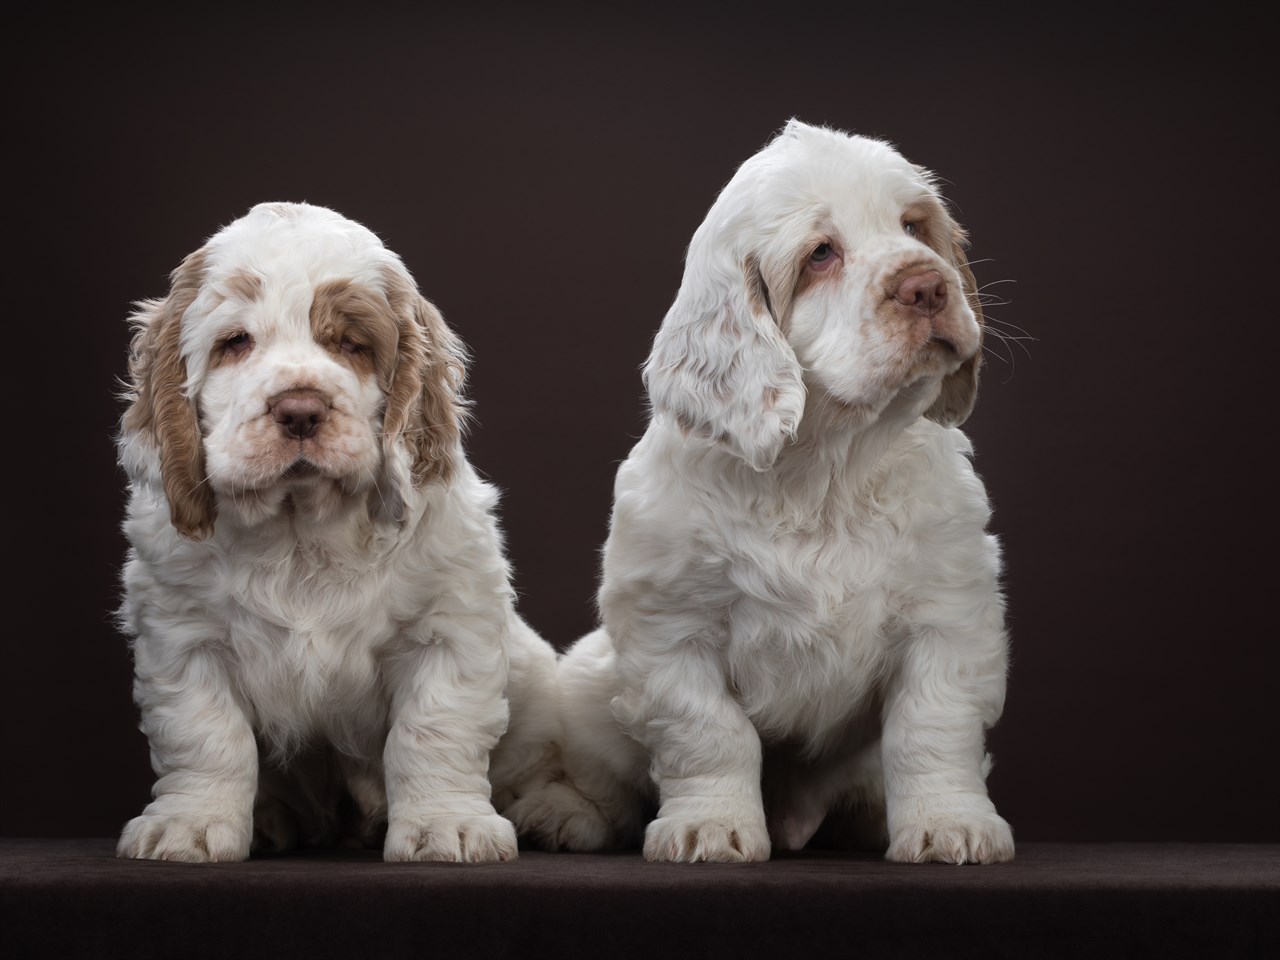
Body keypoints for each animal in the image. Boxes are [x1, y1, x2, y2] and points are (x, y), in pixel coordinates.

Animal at [112, 200, 563, 865]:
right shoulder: (183, 639)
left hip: (535, 684)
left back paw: (559, 813)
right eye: (235, 343)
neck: (301, 529)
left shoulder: (448, 629)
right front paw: (189, 826)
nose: (300, 410)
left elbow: (432, 731)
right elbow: (207, 737)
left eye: (351, 343)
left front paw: (447, 827)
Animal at [514, 118, 1013, 865]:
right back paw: (561, 814)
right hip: (587, 682)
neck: (825, 469)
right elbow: (710, 734)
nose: (928, 285)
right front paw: (710, 828)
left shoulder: (948, 615)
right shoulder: (673, 630)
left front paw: (950, 826)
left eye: (914, 227)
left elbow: (931, 729)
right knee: (599, 776)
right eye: (821, 255)